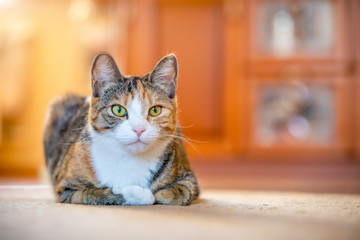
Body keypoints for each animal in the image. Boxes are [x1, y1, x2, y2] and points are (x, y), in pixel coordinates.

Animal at [43, 53, 200, 206]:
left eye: (155, 110)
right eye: (118, 110)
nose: (139, 129)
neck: (129, 159)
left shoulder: (190, 179)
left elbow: (179, 193)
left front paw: (157, 193)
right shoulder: (66, 188)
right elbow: (96, 193)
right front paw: (138, 194)